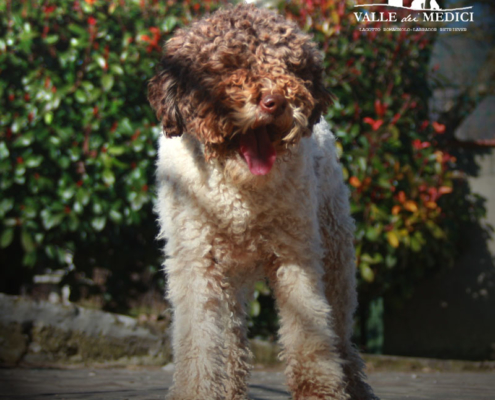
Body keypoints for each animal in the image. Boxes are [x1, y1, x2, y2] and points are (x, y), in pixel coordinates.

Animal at [149, 3, 378, 400]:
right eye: (229, 64)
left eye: (290, 66)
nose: (276, 102)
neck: (238, 190)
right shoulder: (196, 262)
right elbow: (199, 341)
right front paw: (198, 390)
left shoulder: (295, 255)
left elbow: (309, 333)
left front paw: (319, 390)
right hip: (230, 276)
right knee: (231, 337)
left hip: (335, 253)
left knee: (340, 334)